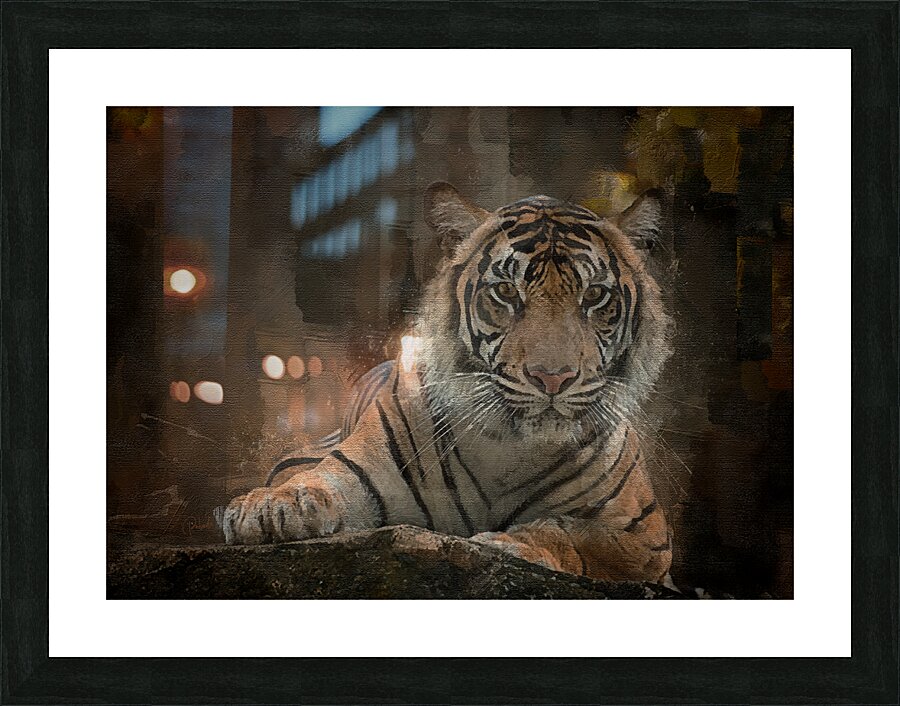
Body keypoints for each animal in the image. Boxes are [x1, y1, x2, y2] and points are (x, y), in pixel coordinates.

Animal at [221, 182, 675, 584]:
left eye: (595, 295)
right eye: (506, 291)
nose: (553, 377)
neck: (510, 449)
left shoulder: (646, 536)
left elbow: (572, 531)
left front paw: (511, 543)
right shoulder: (356, 469)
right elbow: (318, 481)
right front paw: (268, 508)